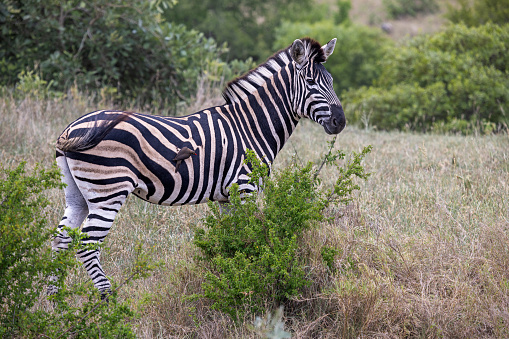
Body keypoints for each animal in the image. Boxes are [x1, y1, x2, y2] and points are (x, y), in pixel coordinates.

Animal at [50, 37, 346, 298]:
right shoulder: (246, 187)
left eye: (332, 82)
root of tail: (70, 129)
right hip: (107, 190)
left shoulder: (228, 197)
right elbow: (250, 238)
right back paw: (107, 301)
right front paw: (255, 281)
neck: (250, 126)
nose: (340, 122)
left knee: (60, 240)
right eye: (311, 82)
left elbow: (232, 241)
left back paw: (54, 302)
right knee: (87, 245)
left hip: (77, 194)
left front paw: (230, 279)